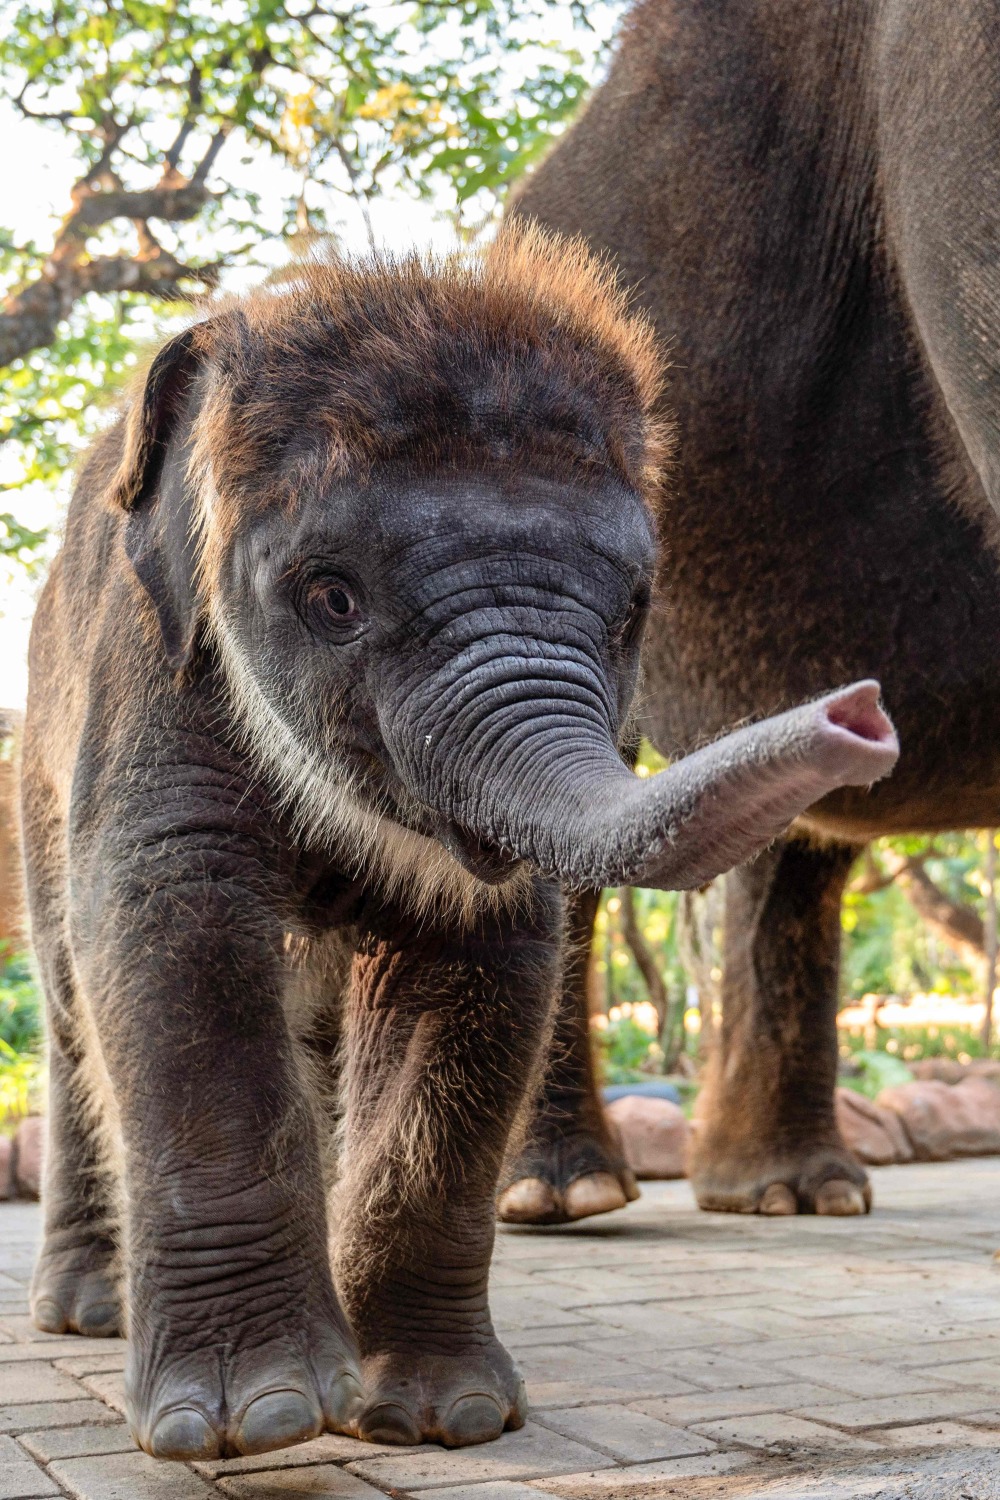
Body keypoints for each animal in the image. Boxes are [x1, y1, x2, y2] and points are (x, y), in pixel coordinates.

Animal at [18, 227, 896, 1461]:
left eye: (636, 609)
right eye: (331, 597)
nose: (862, 712)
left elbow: (489, 962)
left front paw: (441, 1418)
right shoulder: (151, 669)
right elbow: (173, 929)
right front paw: (258, 1421)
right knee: (67, 1005)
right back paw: (91, 1313)